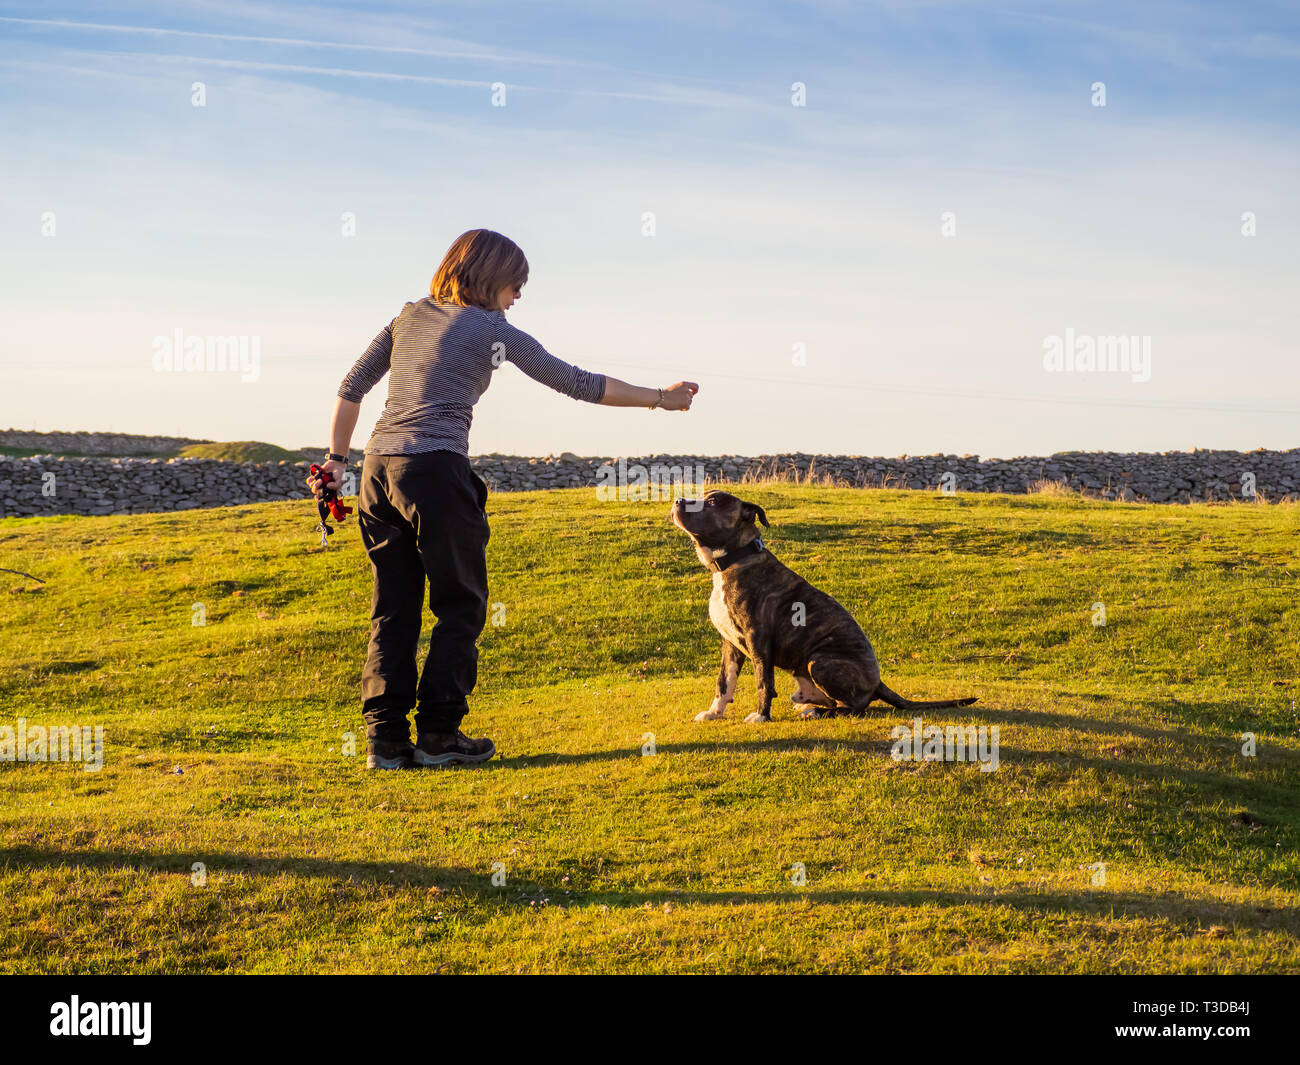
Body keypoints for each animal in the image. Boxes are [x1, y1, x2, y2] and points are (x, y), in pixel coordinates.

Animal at [670, 491, 977, 723]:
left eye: (713, 502)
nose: (677, 500)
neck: (734, 560)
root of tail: (877, 682)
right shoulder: (730, 643)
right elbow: (724, 681)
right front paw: (714, 713)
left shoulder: (759, 642)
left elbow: (763, 682)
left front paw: (761, 716)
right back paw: (808, 704)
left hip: (819, 661)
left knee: (853, 708)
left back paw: (815, 712)